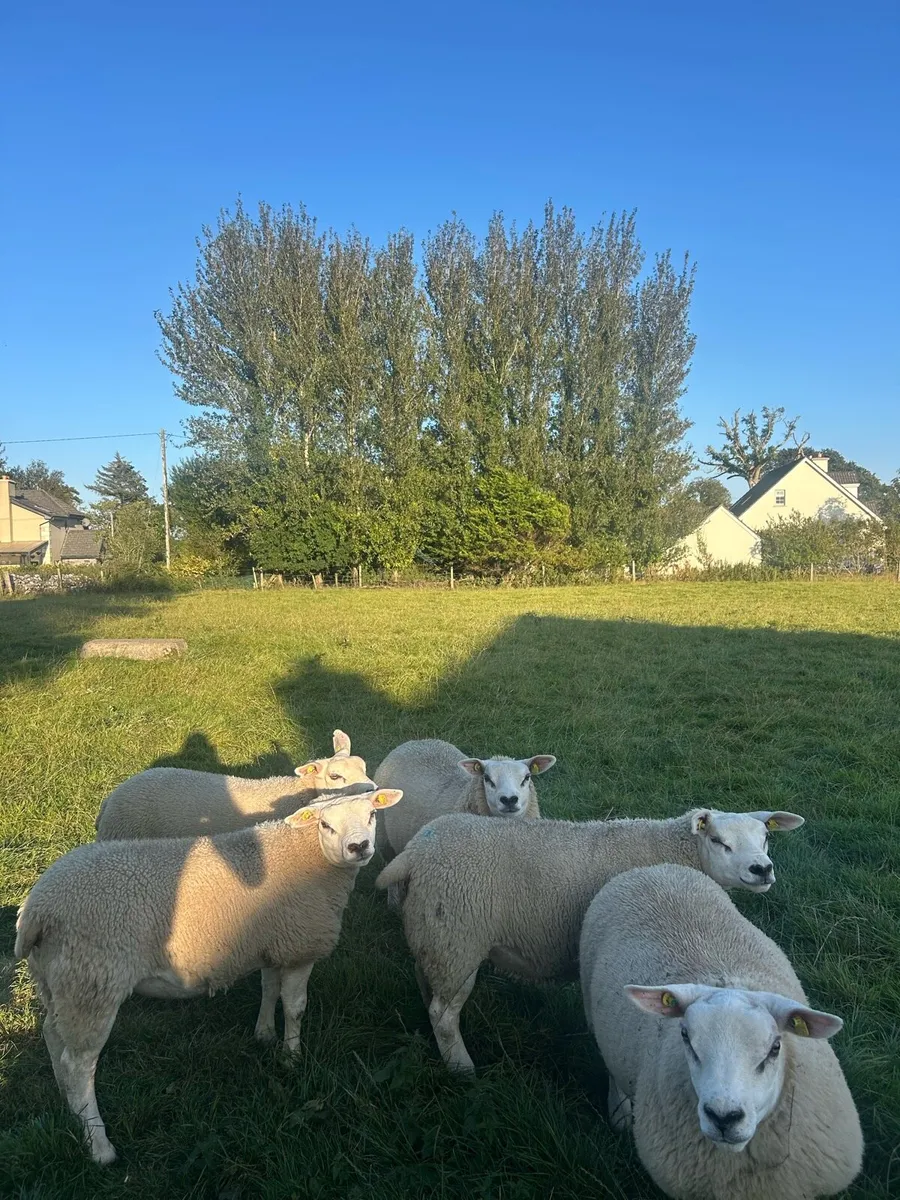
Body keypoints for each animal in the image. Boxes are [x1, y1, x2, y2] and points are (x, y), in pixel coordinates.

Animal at [15, 787, 402, 1165]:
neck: (308, 857)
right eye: (325, 825)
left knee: (53, 1036)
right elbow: (295, 1007)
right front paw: (292, 1059)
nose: (359, 847)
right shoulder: (299, 948)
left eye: (372, 814)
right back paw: (99, 1146)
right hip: (93, 981)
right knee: (79, 1065)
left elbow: (268, 988)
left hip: (57, 980)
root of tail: (37, 908)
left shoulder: (271, 941)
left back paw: (68, 1104)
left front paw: (264, 1035)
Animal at [375, 806, 804, 1074]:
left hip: (431, 934)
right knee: (444, 1015)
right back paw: (462, 1068)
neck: (676, 850)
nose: (762, 869)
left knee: (428, 991)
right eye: (717, 840)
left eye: (766, 837)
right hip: (457, 939)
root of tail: (415, 850)